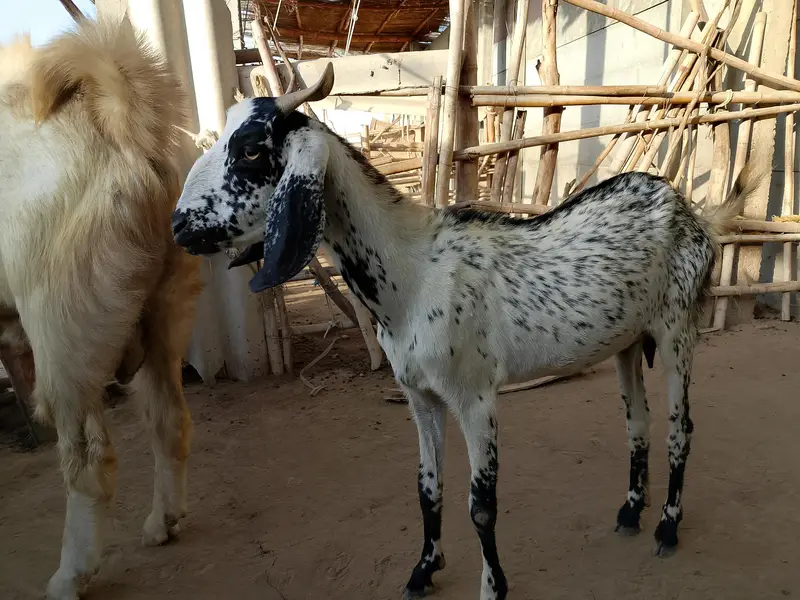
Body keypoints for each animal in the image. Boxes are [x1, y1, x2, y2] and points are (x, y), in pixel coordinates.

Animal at [0, 17, 203, 600]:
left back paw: (71, 574)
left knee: (90, 461)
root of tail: (117, 128)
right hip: (160, 320)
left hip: (61, 340)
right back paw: (163, 521)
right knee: (169, 420)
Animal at [171, 64, 753, 600]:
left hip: (677, 330)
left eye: (250, 149)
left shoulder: (474, 396)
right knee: (637, 423)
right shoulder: (420, 396)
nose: (179, 226)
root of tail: (692, 212)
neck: (414, 274)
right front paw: (423, 570)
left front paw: (493, 586)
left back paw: (667, 526)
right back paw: (632, 511)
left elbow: (482, 505)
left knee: (680, 429)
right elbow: (427, 489)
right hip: (627, 343)